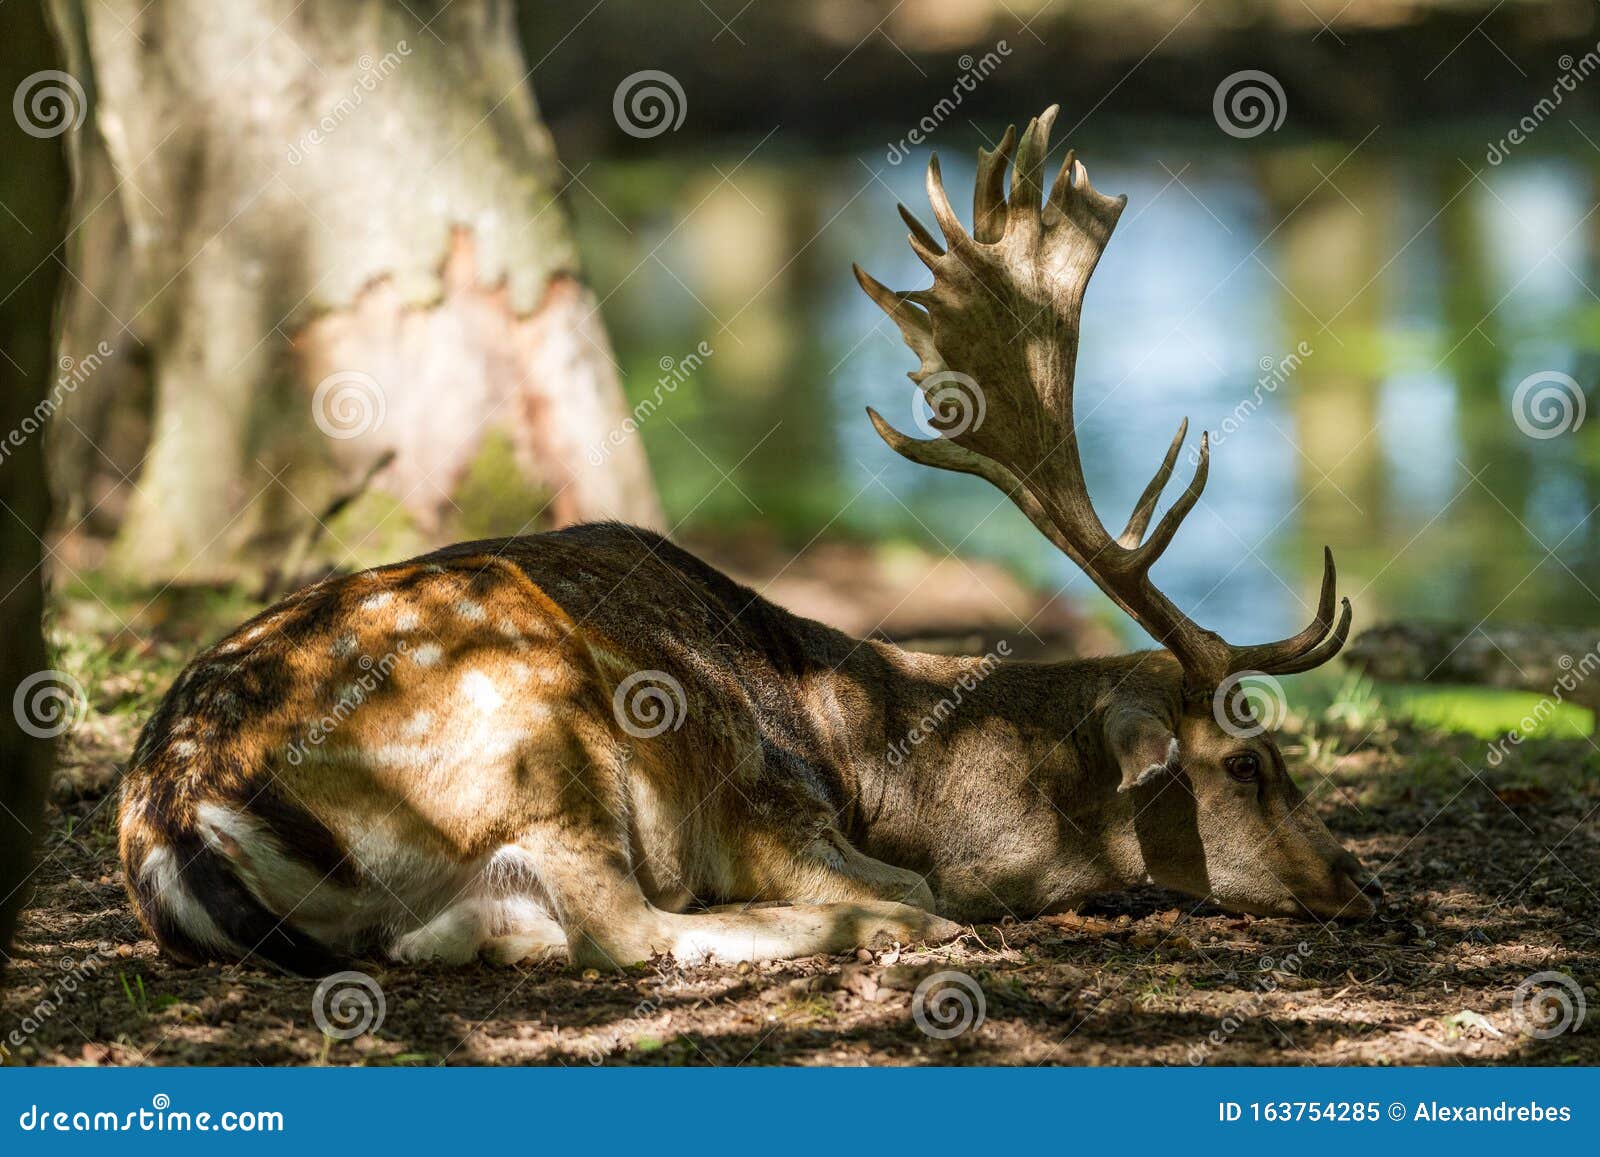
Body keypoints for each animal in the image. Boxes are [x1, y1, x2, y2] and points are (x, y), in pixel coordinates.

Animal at [117, 106, 1380, 977]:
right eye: (1247, 760)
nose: (1354, 876)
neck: (878, 763)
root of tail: (179, 812)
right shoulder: (771, 807)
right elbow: (920, 879)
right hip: (533, 720)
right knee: (627, 922)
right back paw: (881, 918)